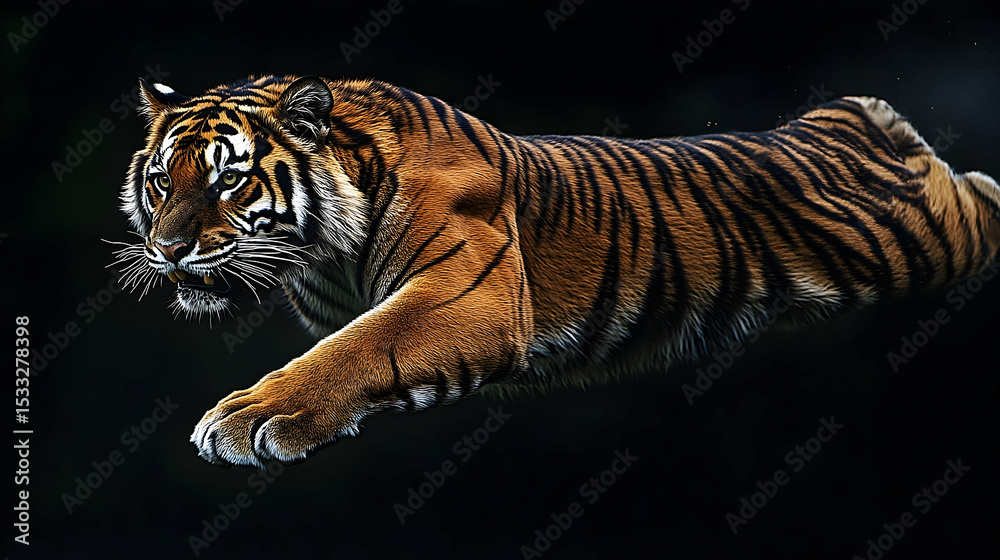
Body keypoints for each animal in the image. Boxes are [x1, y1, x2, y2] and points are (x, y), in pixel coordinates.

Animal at [114, 74, 1000, 468]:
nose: (167, 249)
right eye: (161, 180)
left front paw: (245, 417)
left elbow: (358, 349)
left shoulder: (466, 296)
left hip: (921, 238)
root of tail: (848, 112)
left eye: (228, 180)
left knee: (980, 197)